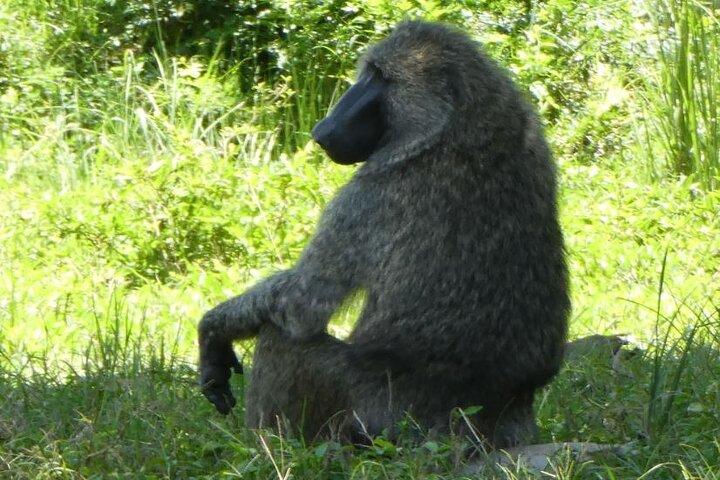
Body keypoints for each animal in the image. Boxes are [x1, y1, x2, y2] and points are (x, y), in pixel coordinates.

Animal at [198, 20, 570, 448]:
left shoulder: (371, 190)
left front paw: (213, 332)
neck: (460, 121)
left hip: (380, 416)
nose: (322, 129)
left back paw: (267, 449)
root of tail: (490, 417)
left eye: (381, 78)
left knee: (281, 339)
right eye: (370, 72)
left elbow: (300, 305)